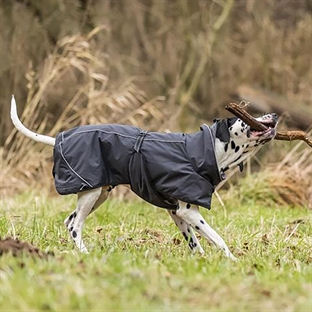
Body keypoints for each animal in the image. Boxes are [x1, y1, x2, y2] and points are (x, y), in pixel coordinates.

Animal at [9, 96, 278, 260]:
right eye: (245, 117)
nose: (274, 115)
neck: (210, 150)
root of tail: (58, 139)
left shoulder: (177, 211)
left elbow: (194, 241)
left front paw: (200, 261)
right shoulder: (189, 211)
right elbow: (218, 239)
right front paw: (232, 261)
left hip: (99, 194)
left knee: (69, 221)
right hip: (91, 193)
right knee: (75, 225)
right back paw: (85, 253)